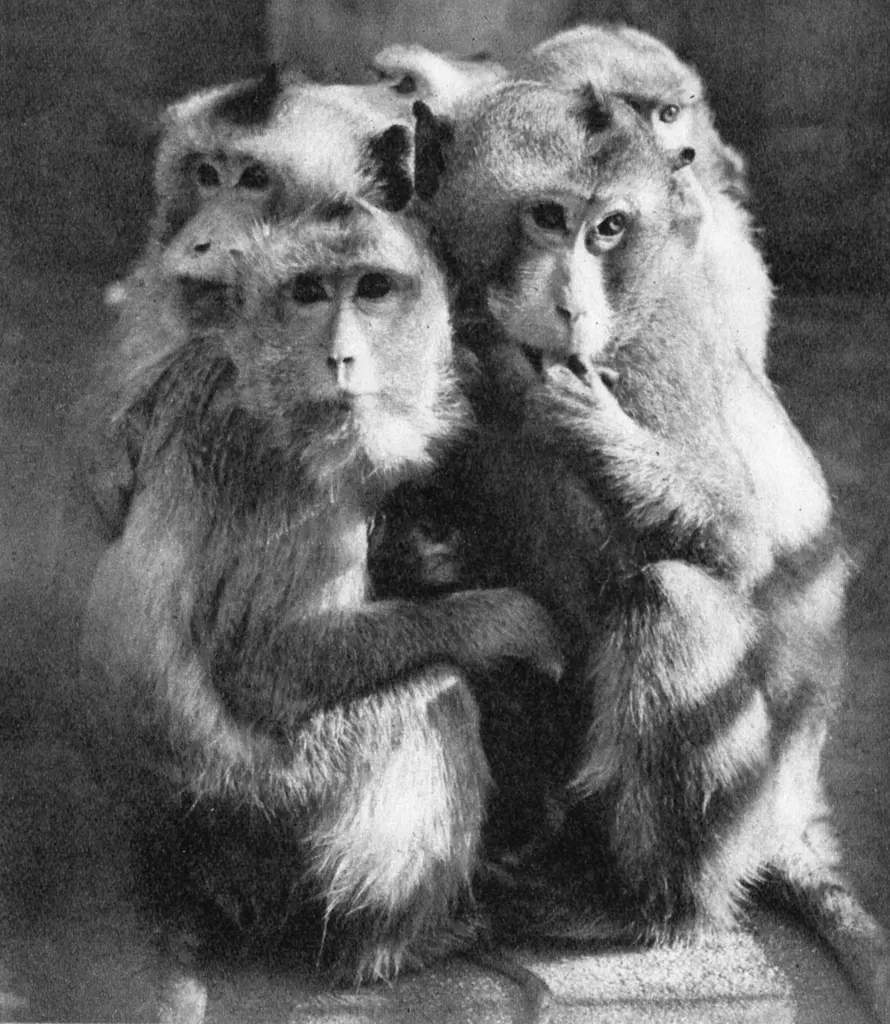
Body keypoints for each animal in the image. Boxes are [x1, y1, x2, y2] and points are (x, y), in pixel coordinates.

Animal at [76, 196, 565, 1007]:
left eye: (372, 289)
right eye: (309, 293)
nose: (341, 357)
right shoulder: (304, 471)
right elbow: (264, 655)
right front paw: (504, 622)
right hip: (271, 818)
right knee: (437, 701)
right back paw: (386, 946)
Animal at [367, 83, 890, 1021]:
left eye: (609, 229)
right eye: (548, 217)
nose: (574, 306)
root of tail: (793, 807)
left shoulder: (660, 345)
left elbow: (738, 544)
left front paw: (576, 421)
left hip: (748, 801)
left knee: (670, 597)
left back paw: (650, 906)